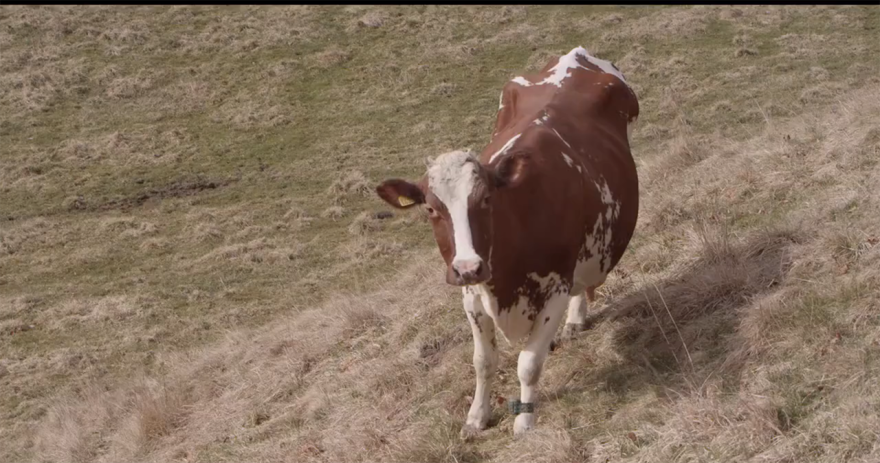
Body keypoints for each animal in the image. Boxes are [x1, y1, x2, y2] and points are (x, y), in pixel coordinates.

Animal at [375, 46, 640, 437]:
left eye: (486, 199)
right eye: (431, 209)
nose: (468, 267)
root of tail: (575, 54)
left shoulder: (555, 289)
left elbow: (528, 363)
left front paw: (524, 419)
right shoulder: (472, 296)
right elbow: (483, 361)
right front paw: (476, 416)